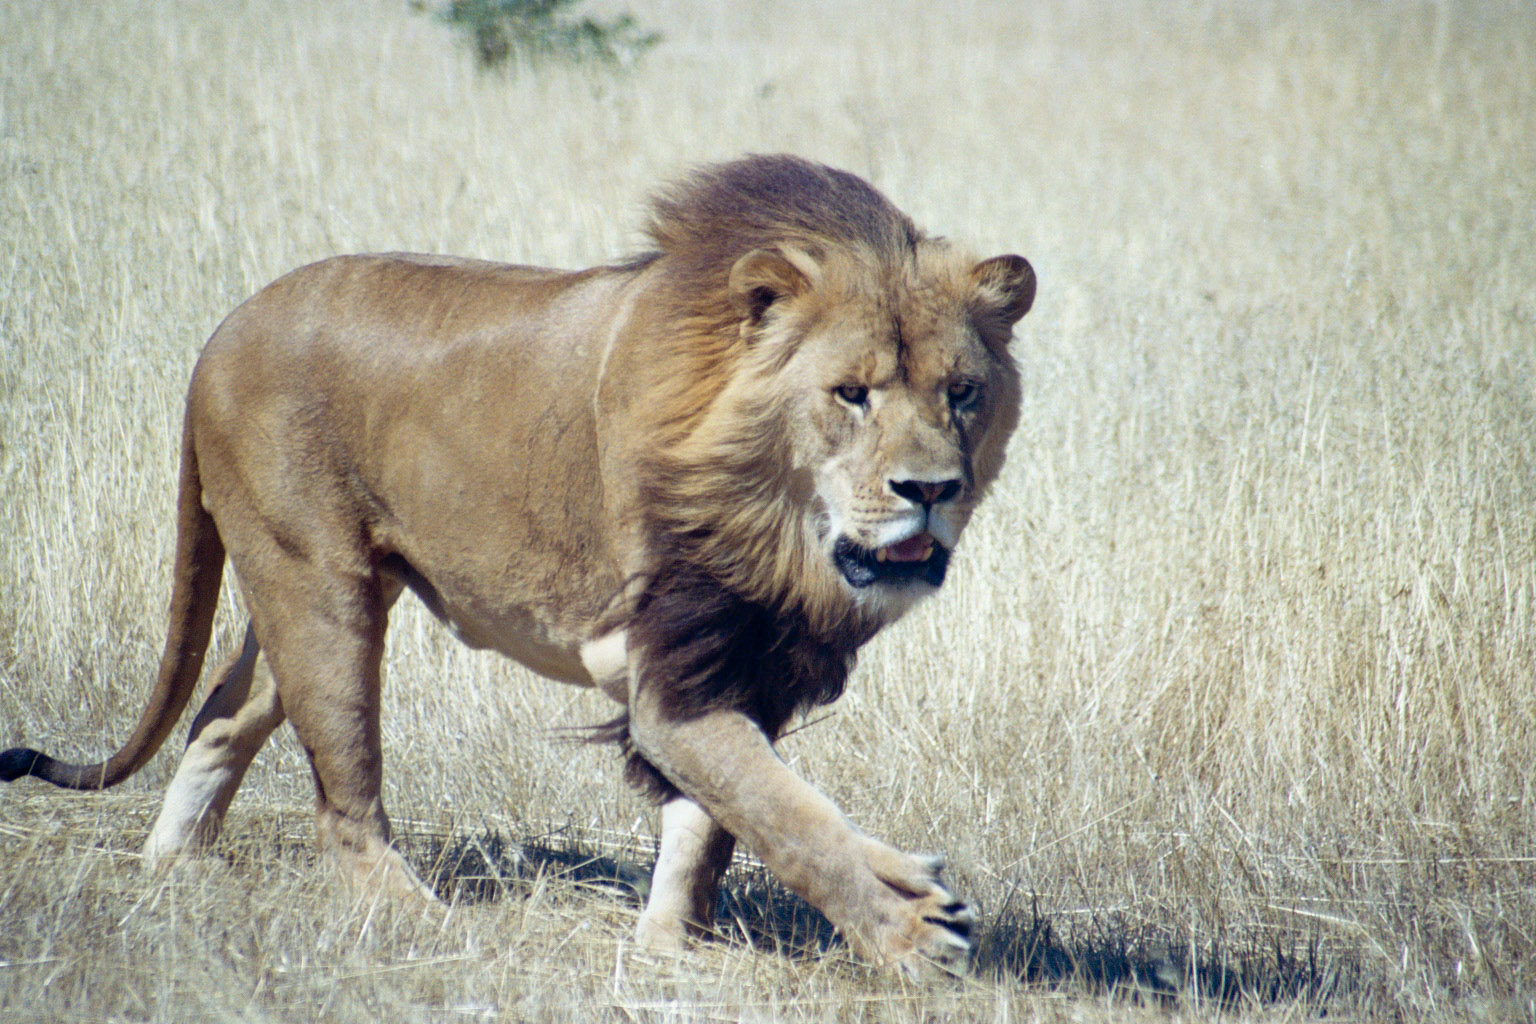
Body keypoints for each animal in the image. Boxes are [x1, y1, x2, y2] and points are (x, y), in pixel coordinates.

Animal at [1, 155, 1034, 975]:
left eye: (962, 392)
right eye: (850, 394)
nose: (930, 489)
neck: (783, 538)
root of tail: (222, 331)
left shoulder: (750, 663)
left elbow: (710, 823)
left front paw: (671, 946)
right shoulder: (666, 675)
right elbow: (781, 811)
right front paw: (911, 924)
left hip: (292, 588)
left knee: (222, 712)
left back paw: (169, 871)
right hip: (322, 594)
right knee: (344, 799)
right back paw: (418, 921)